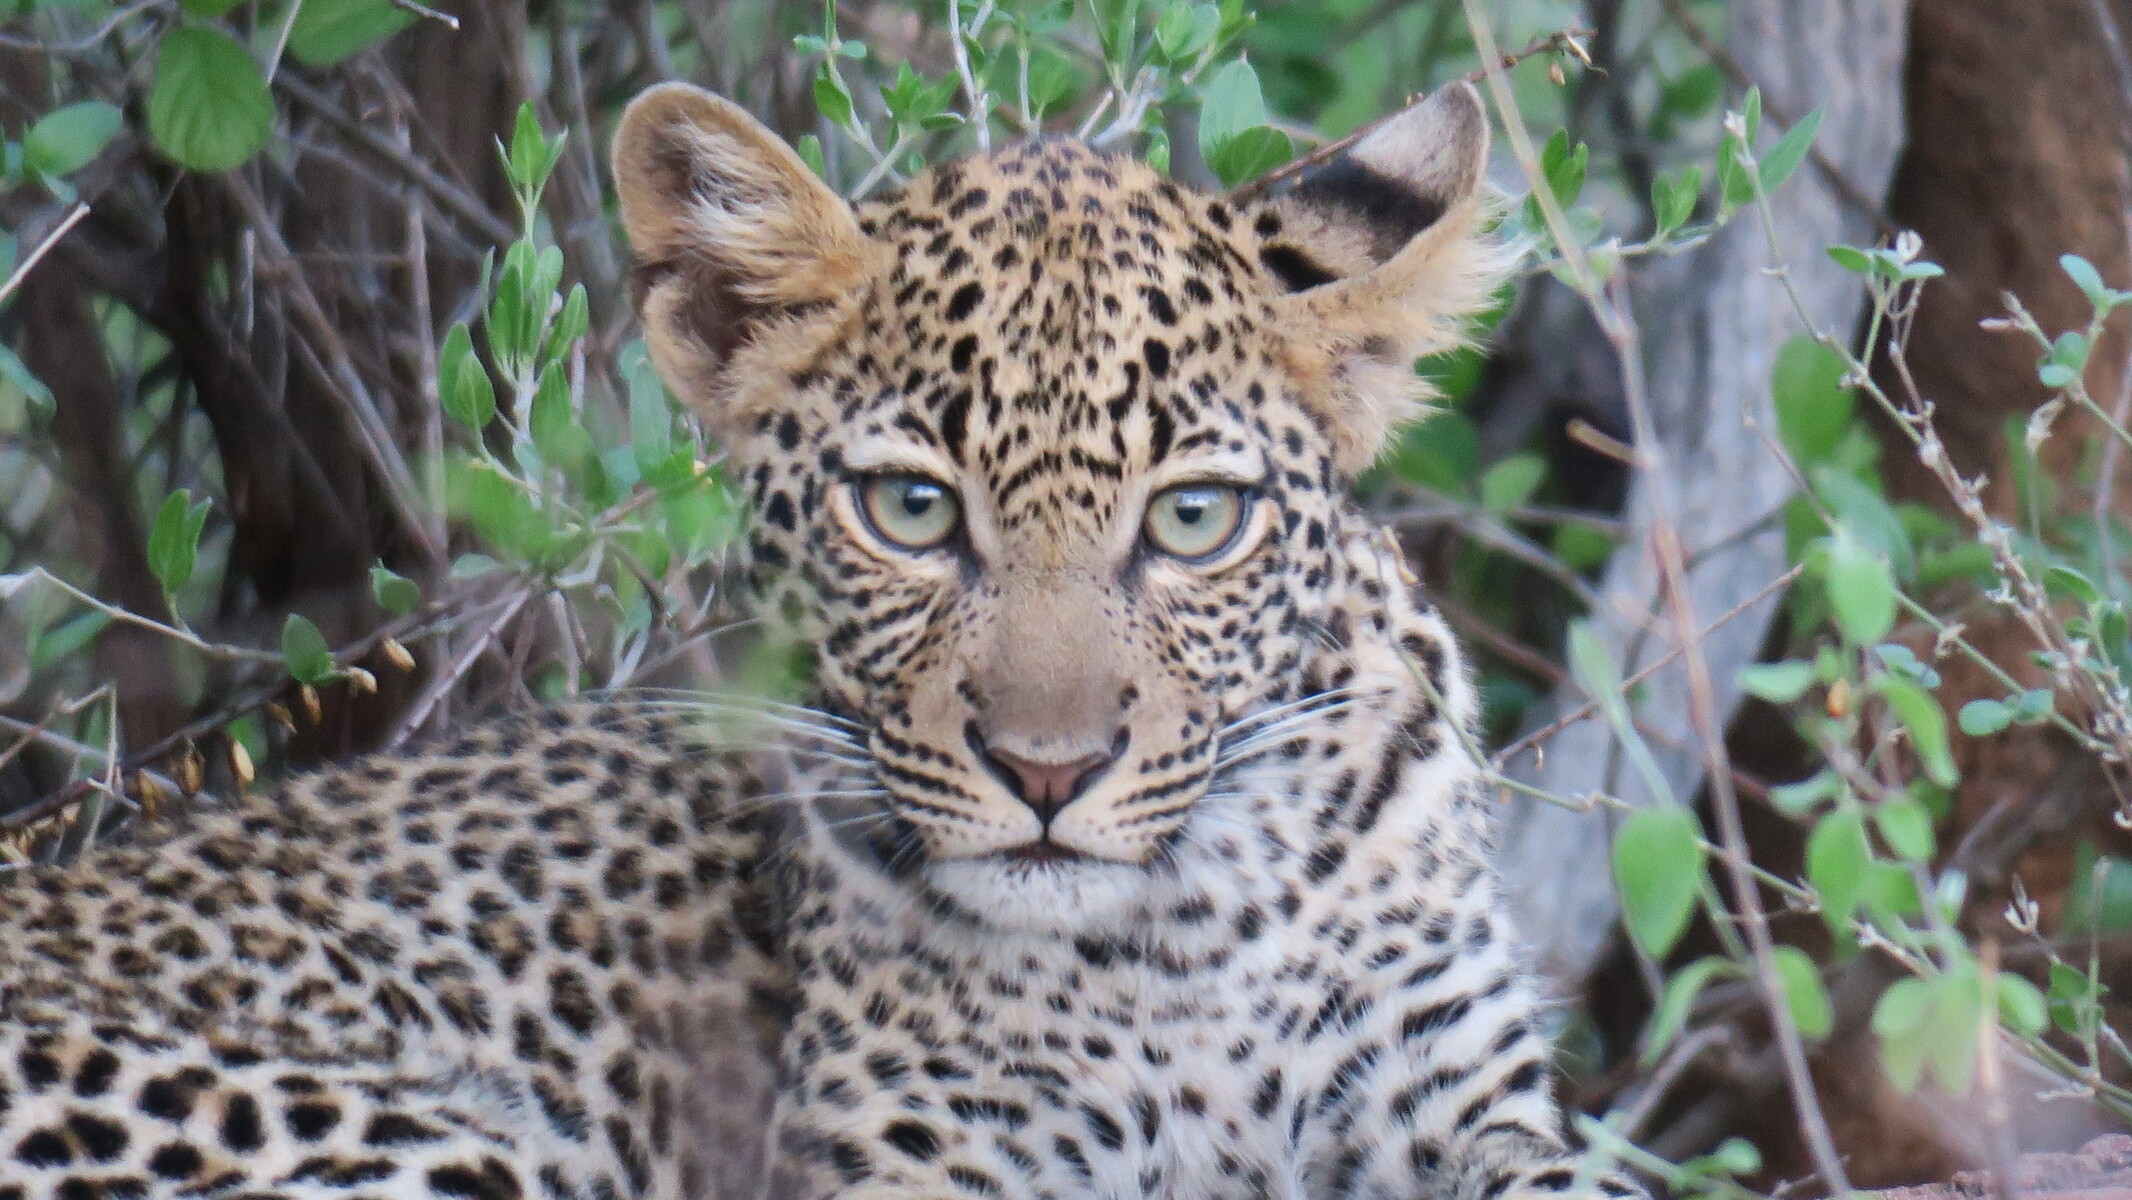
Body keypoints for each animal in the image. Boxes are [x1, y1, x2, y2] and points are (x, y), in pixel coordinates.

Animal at [0, 78, 1645, 1200]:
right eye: (911, 510)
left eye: (1192, 521)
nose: (1049, 775)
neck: (1188, 943)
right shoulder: (921, 1156)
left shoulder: (1462, 1097)